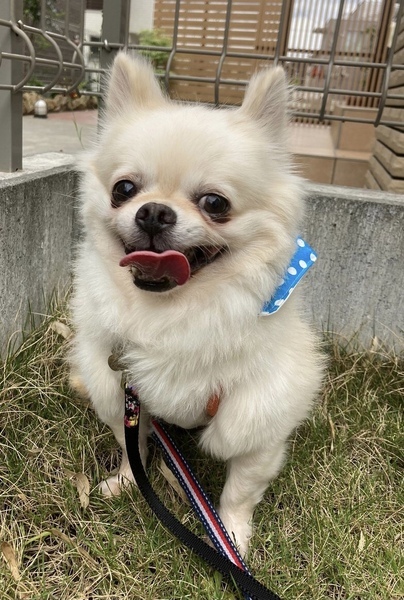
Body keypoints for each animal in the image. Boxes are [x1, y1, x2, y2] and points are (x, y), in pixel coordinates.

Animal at [70, 53, 324, 556]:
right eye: (124, 189)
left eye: (214, 202)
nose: (153, 212)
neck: (173, 311)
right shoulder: (124, 390)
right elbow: (134, 446)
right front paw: (127, 483)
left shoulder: (260, 409)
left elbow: (240, 486)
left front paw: (232, 536)